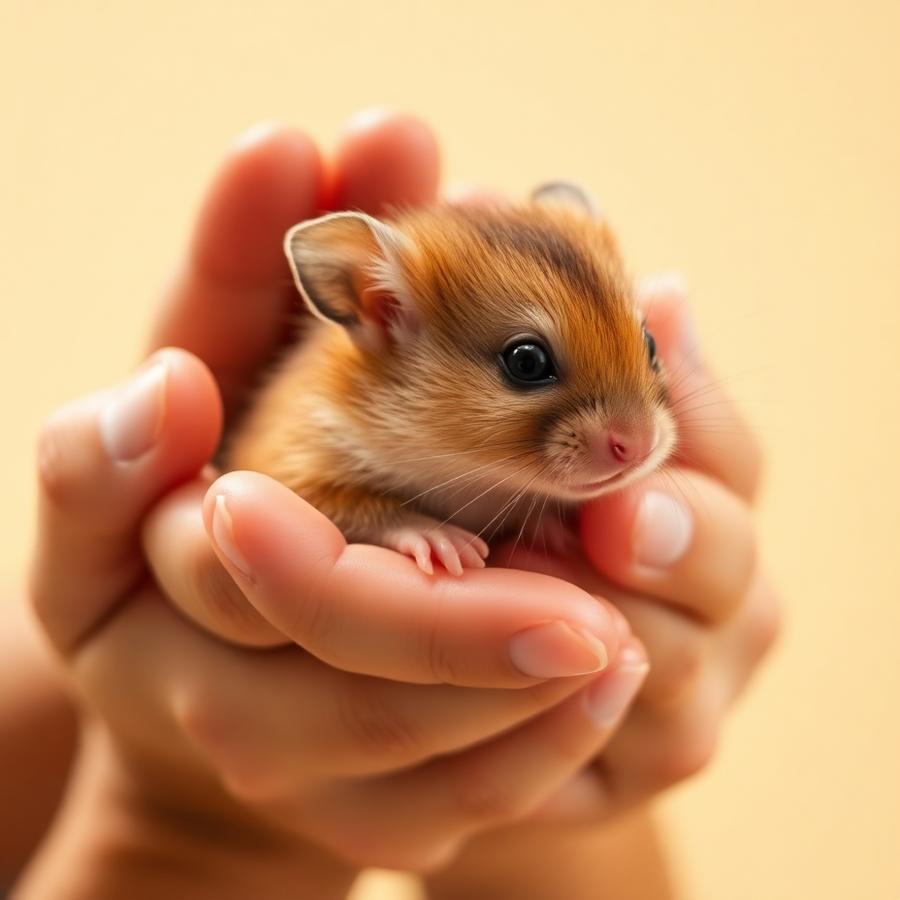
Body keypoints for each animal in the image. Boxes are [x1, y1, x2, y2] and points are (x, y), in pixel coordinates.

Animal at [225, 183, 676, 575]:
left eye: (651, 342)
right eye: (526, 362)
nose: (641, 446)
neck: (467, 472)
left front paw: (558, 535)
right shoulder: (297, 471)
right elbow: (376, 510)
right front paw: (451, 547)